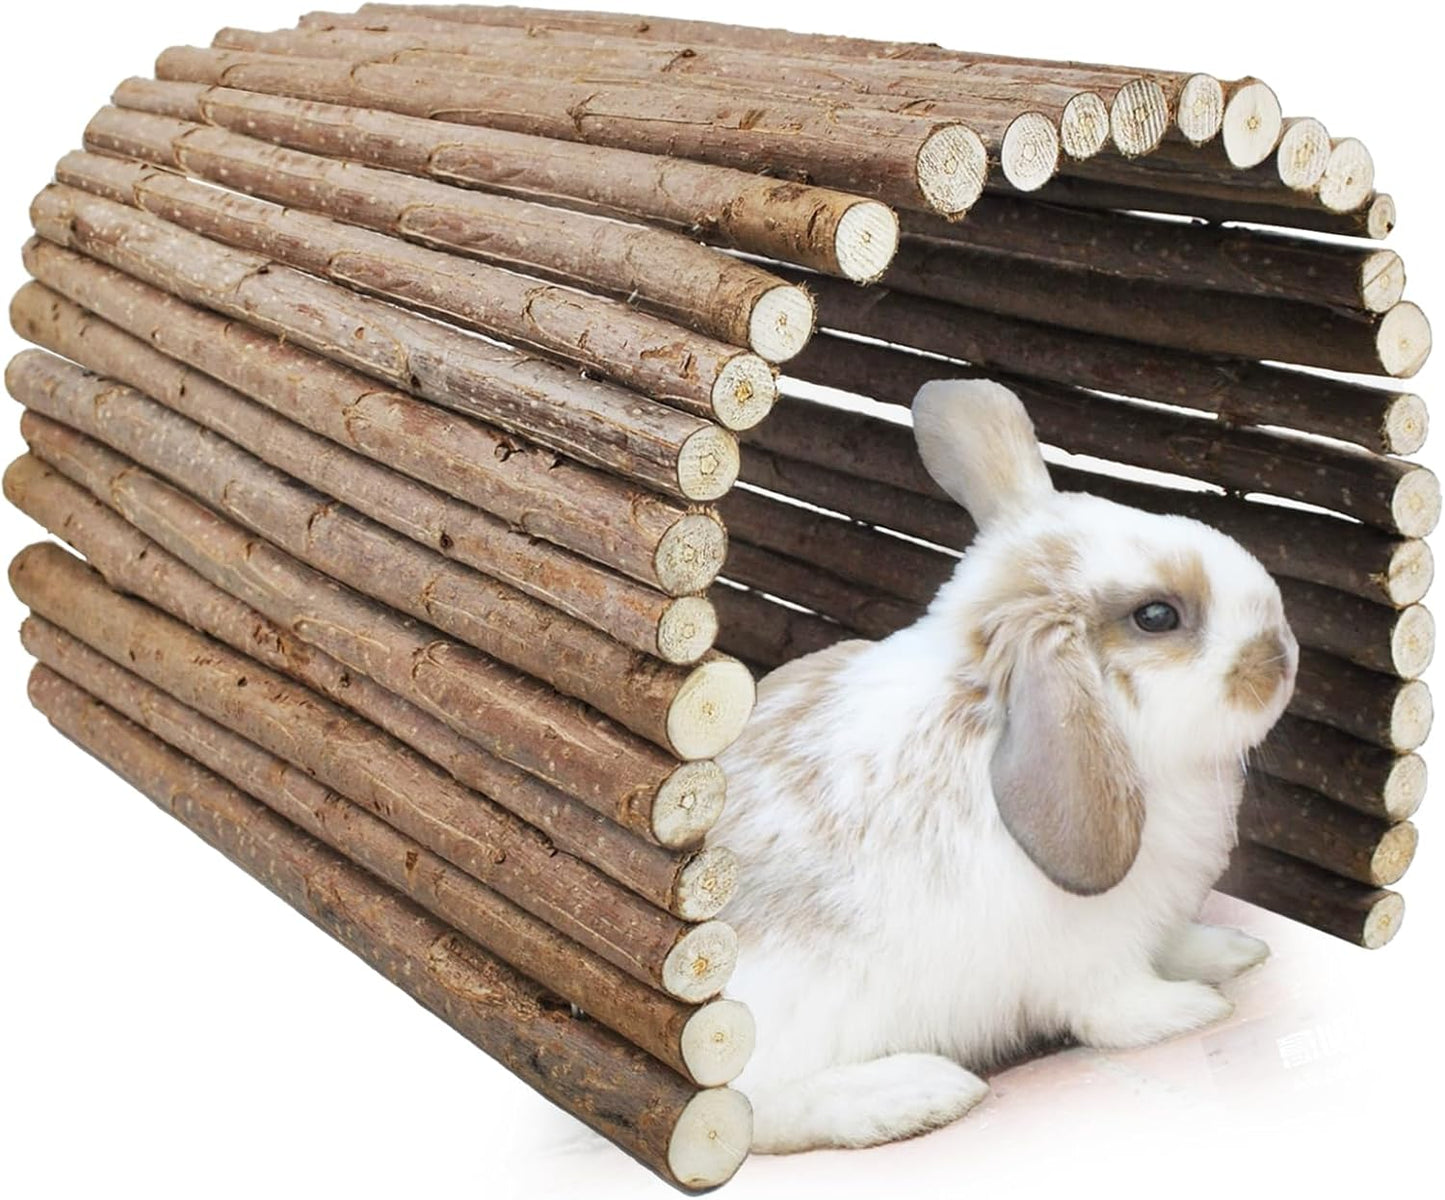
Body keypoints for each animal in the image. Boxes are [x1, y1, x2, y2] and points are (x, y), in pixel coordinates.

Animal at [713, 379, 1299, 1154]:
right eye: (1156, 616)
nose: (1282, 658)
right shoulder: (1088, 955)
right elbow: (1115, 1009)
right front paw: (1189, 1009)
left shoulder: (1156, 917)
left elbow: (1180, 942)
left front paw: (1233, 953)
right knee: (748, 1117)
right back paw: (917, 1094)